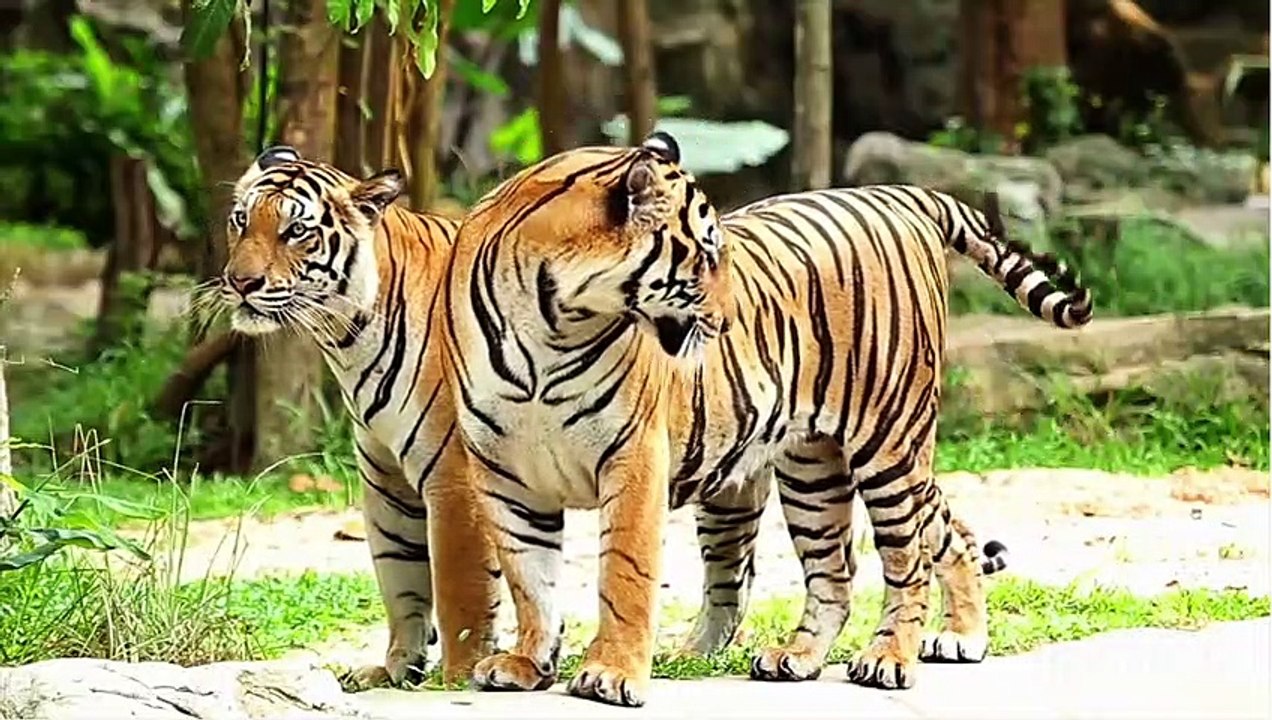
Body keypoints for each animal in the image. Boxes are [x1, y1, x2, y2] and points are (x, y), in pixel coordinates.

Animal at [211, 146, 501, 687]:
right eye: (241, 220)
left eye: (295, 231)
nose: (241, 283)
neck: (348, 340)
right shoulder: (387, 477)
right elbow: (400, 575)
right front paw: (396, 669)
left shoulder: (456, 476)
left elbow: (461, 584)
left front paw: (459, 676)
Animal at [440, 131, 1091, 707]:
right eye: (704, 255)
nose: (730, 320)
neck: (547, 328)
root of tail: (903, 194)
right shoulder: (506, 476)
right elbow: (530, 579)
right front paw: (526, 663)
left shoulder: (632, 460)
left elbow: (624, 573)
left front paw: (611, 674)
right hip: (813, 469)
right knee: (853, 567)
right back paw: (831, 654)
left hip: (889, 444)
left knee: (907, 561)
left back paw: (892, 657)